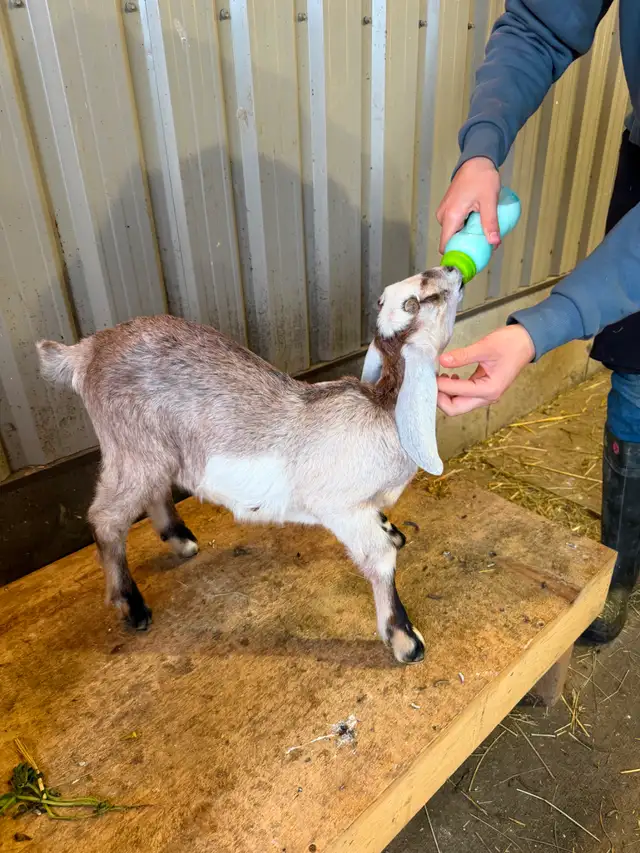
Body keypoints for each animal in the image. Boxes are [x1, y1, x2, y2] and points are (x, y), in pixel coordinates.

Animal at [37, 266, 462, 663]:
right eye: (422, 299)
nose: (454, 270)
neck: (385, 409)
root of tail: (86, 351)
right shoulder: (342, 508)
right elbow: (380, 559)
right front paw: (404, 639)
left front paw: (392, 530)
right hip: (130, 443)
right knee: (106, 518)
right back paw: (132, 605)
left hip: (155, 448)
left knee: (153, 491)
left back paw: (180, 539)